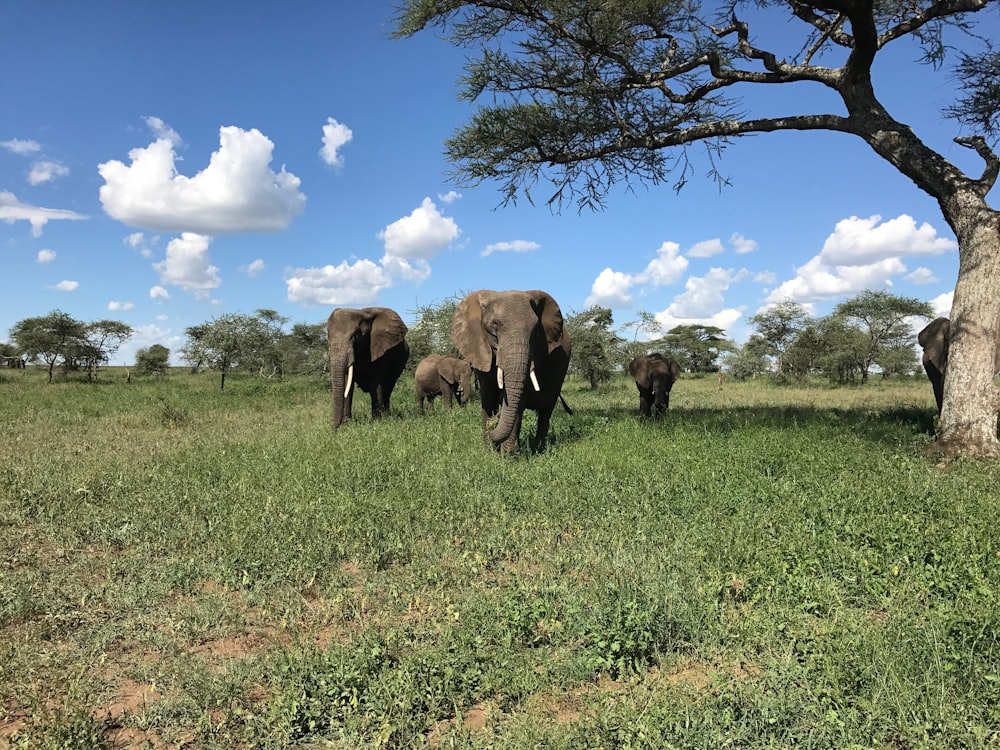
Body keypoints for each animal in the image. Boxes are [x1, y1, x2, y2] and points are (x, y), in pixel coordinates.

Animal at [452, 288, 572, 452]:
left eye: (535, 332)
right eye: (494, 328)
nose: (493, 424)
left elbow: (517, 399)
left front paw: (507, 454)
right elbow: (488, 396)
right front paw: (488, 450)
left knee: (545, 413)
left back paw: (538, 448)